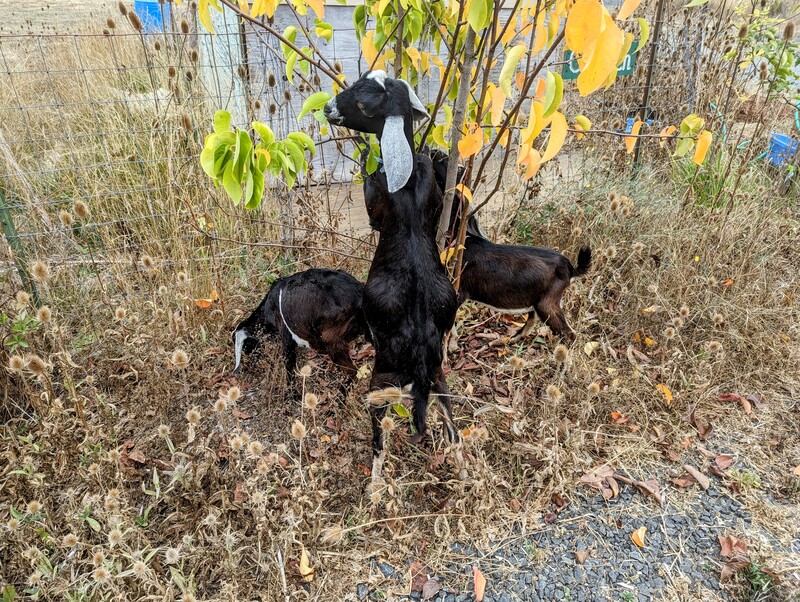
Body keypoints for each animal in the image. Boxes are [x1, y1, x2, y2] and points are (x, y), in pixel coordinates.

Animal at [233, 270, 368, 396]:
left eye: (246, 346)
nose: (249, 366)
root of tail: (358, 292)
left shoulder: (286, 337)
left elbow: (289, 366)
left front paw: (291, 395)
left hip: (331, 339)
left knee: (351, 370)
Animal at [324, 70, 462, 476]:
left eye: (361, 98)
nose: (327, 108)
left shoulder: (377, 199)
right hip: (438, 378)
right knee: (453, 427)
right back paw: (462, 467)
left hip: (381, 383)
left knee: (379, 439)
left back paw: (373, 482)